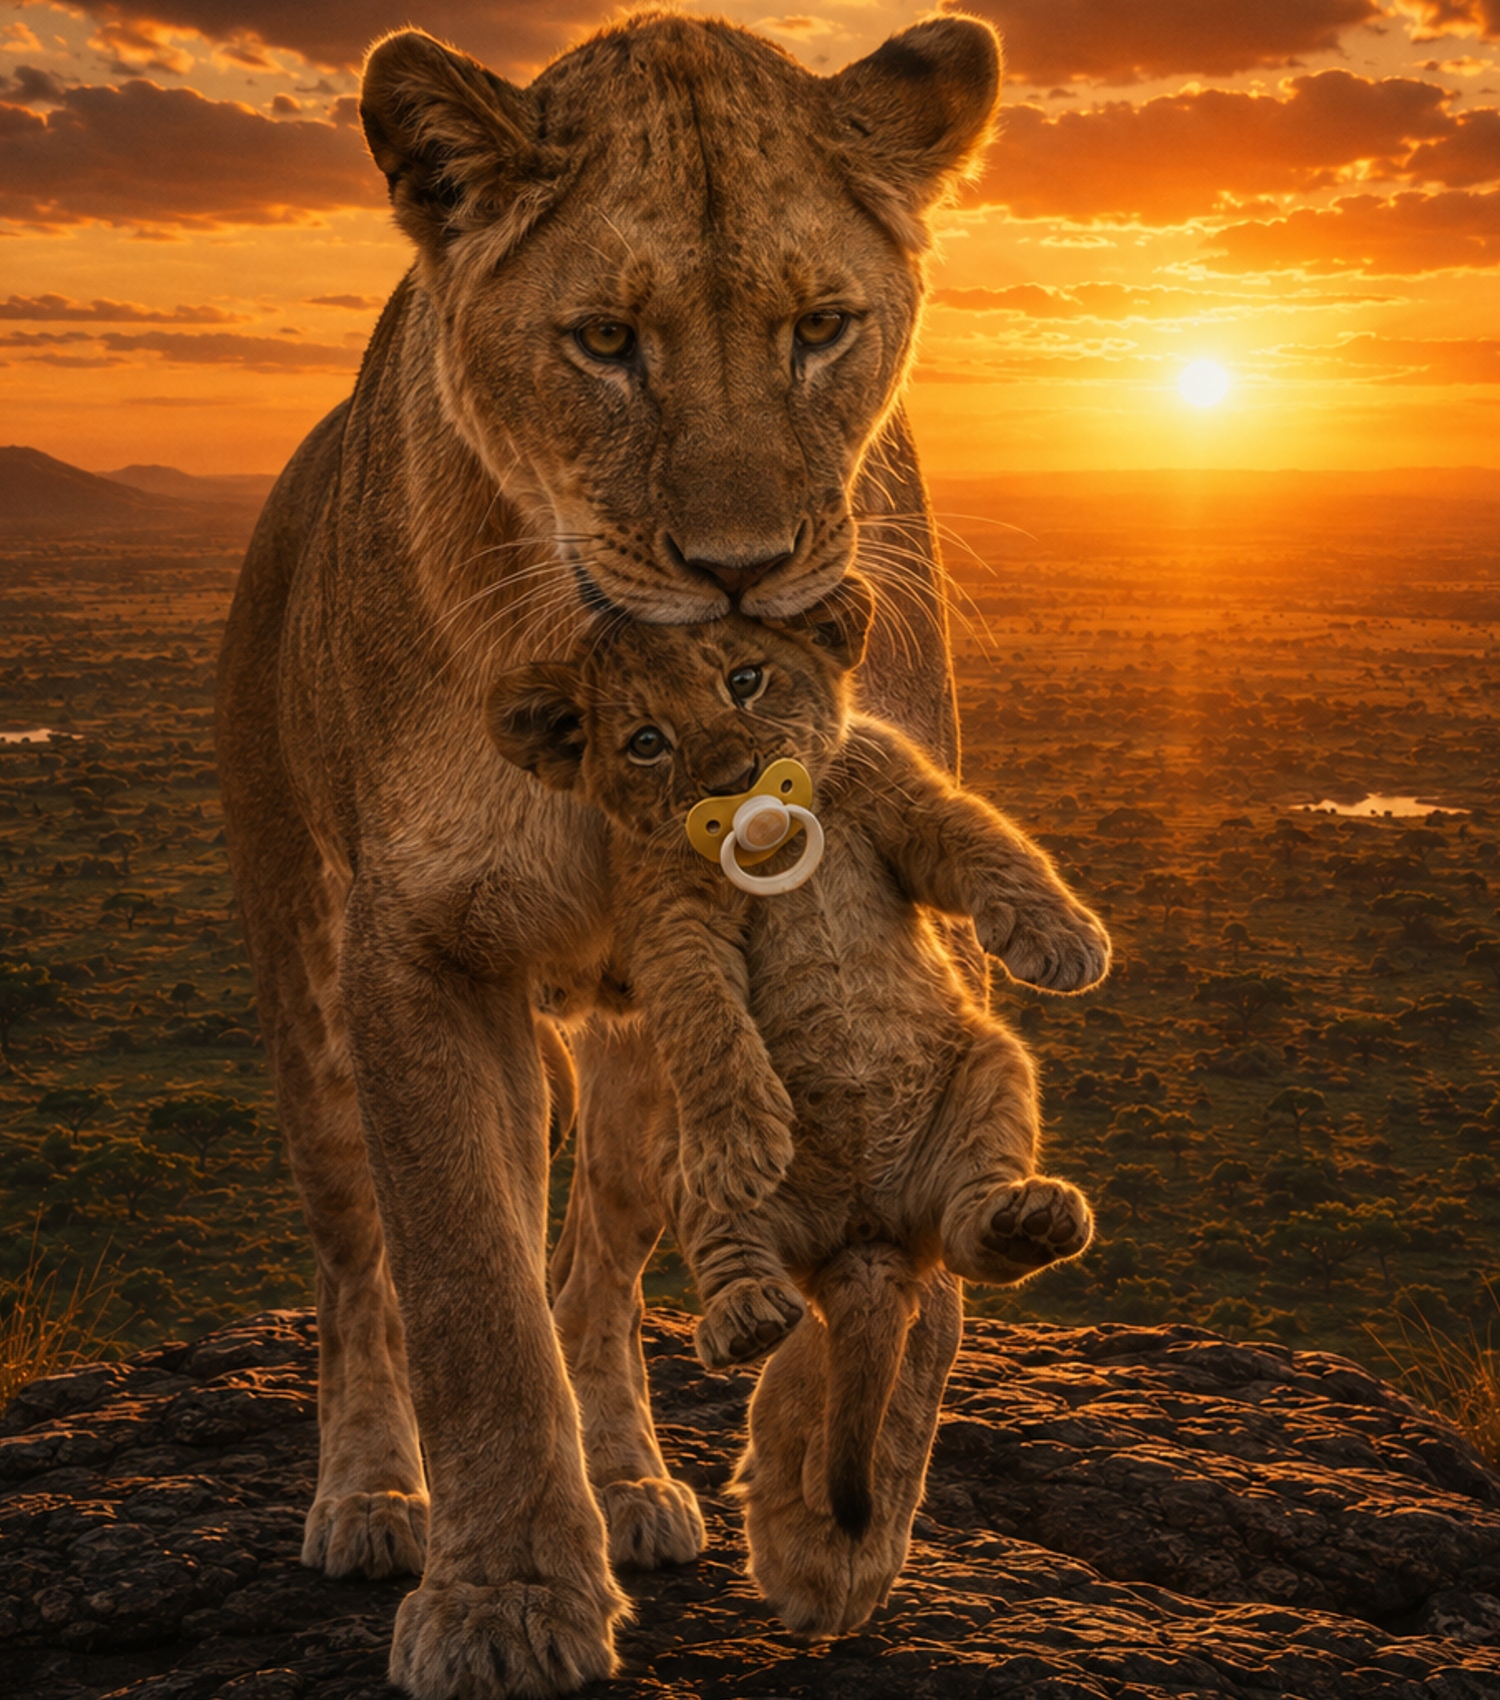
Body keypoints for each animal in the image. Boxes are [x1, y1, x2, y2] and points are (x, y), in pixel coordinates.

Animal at [215, 12, 1002, 1698]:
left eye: (820, 328)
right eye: (601, 342)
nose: (742, 570)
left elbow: (901, 1274)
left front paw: (830, 1523)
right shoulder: (423, 952)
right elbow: (470, 1302)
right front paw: (507, 1608)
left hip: (646, 1067)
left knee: (599, 1274)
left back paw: (636, 1480)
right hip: (307, 989)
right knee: (360, 1276)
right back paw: (372, 1498)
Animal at [485, 578, 1102, 1632]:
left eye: (746, 679)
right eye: (646, 741)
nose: (736, 777)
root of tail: (865, 1240)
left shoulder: (904, 799)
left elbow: (986, 845)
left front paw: (1065, 941)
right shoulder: (669, 915)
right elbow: (705, 1013)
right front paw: (745, 1132)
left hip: (988, 1066)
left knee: (967, 1231)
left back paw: (1028, 1219)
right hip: (681, 1155)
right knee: (734, 1243)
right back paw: (747, 1314)